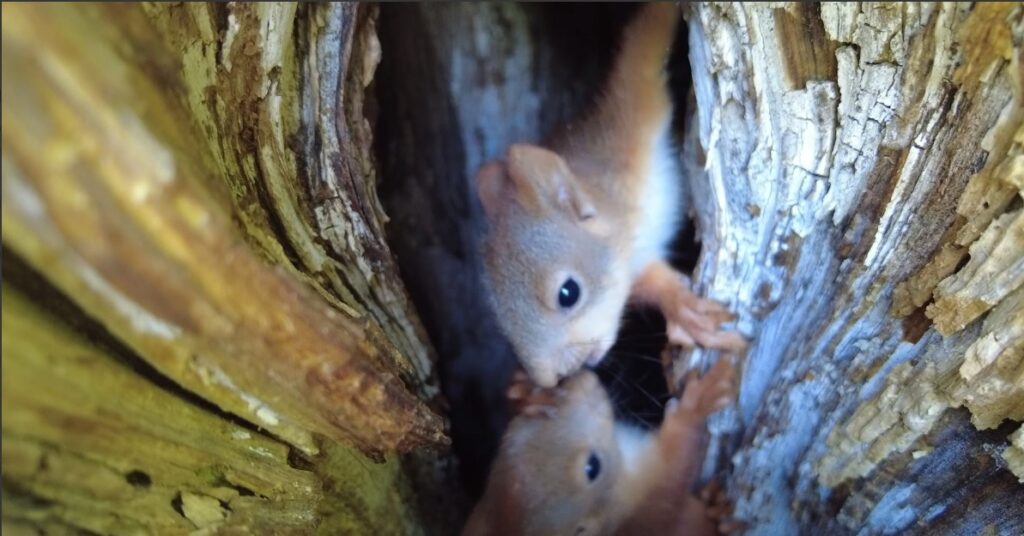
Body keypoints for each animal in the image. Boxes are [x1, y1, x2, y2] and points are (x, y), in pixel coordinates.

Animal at [462, 354, 737, 532]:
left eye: (513, 433)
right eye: (592, 467)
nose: (583, 381)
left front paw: (527, 395)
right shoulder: (645, 509)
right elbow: (674, 476)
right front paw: (695, 406)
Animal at [471, 2, 745, 387]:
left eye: (568, 293)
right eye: (500, 318)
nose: (552, 379)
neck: (630, 220)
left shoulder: (631, 113)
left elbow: (643, 43)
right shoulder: (635, 262)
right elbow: (655, 282)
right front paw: (682, 309)